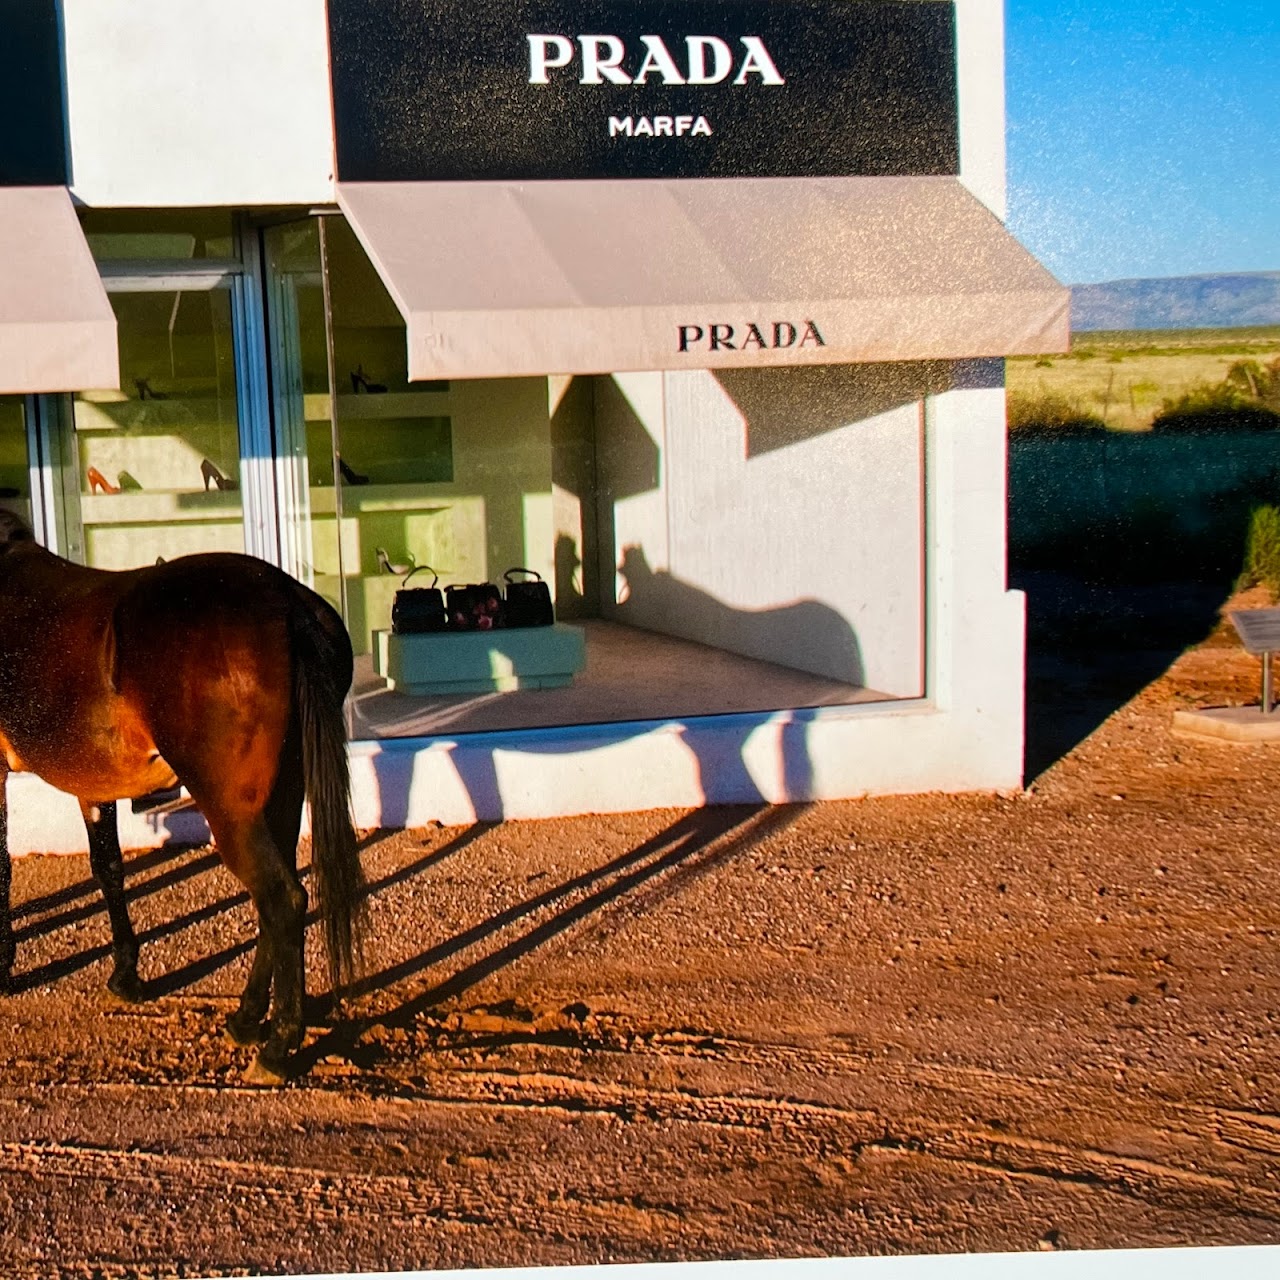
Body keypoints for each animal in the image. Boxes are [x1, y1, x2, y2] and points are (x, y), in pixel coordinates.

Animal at [0, 509, 366, 1080]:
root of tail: (288, 605)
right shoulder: (94, 783)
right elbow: (108, 868)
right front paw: (126, 976)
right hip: (279, 797)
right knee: (278, 896)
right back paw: (246, 1018)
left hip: (230, 808)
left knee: (282, 899)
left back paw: (277, 1046)